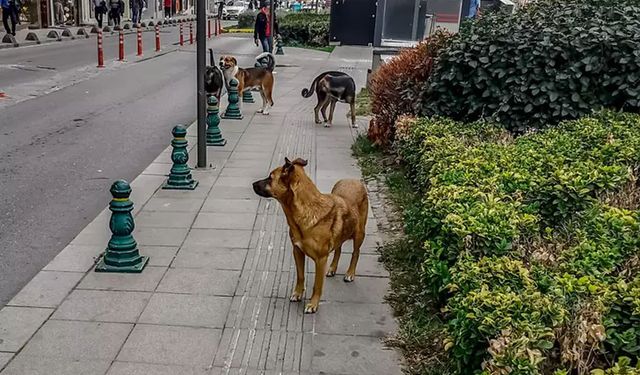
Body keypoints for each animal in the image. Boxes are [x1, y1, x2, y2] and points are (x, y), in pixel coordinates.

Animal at [251, 159, 368, 314]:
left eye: (270, 178)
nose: (253, 184)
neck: (306, 211)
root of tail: (354, 180)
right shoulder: (297, 251)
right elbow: (300, 276)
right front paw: (297, 293)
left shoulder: (321, 260)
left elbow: (317, 285)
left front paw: (313, 304)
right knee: (338, 249)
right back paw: (332, 268)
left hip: (360, 233)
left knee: (356, 252)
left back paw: (350, 273)